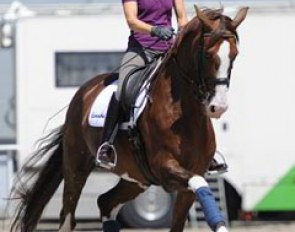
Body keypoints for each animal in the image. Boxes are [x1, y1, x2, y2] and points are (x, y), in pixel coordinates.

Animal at [10, 5, 249, 232]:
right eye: (208, 55)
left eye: (234, 55)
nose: (218, 107)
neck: (185, 115)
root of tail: (84, 92)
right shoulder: (165, 166)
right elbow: (199, 183)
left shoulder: (192, 177)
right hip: (76, 166)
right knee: (68, 215)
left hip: (136, 178)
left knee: (105, 202)